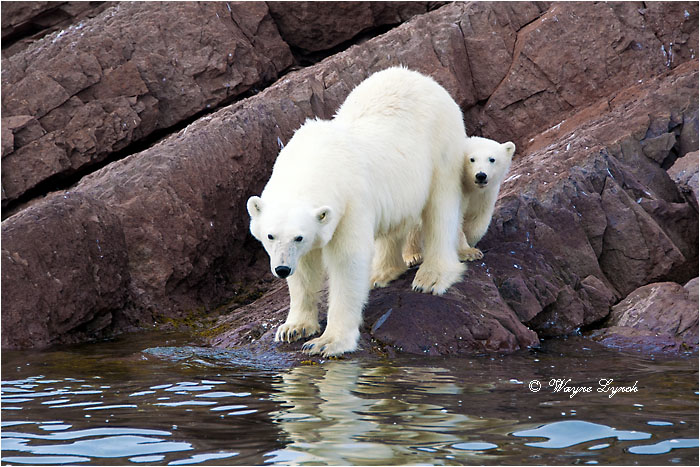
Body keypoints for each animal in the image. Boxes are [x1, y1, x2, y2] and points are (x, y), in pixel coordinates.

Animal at [247, 67, 467, 357]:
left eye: (299, 237)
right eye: (270, 236)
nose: (282, 269)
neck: (314, 161)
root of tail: (423, 78)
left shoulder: (350, 202)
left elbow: (347, 261)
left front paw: (327, 342)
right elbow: (305, 268)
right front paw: (293, 328)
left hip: (442, 146)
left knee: (441, 207)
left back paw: (431, 277)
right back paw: (381, 273)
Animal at [403, 136, 516, 266]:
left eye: (492, 159)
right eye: (472, 159)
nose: (481, 175)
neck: (468, 184)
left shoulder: (484, 194)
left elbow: (477, 219)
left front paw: (471, 245)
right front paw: (470, 253)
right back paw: (413, 255)